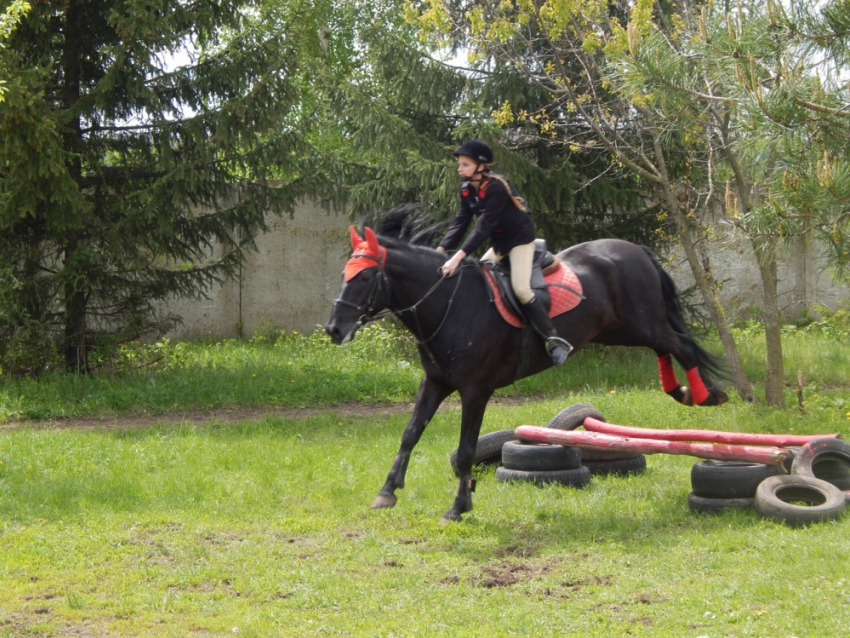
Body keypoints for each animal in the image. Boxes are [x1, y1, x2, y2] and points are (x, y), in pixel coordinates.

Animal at [322, 212, 724, 524]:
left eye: (363, 277)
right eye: (343, 273)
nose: (334, 329)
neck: (448, 303)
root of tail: (634, 248)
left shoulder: (476, 390)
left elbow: (466, 450)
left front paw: (459, 506)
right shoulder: (434, 382)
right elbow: (410, 434)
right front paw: (387, 491)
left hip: (642, 324)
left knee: (682, 346)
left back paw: (707, 394)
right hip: (621, 331)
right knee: (666, 348)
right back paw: (683, 391)